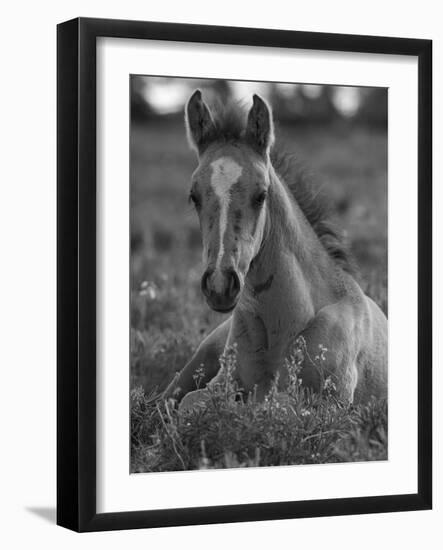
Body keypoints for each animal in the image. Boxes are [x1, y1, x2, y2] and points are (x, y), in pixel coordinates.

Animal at [164, 90, 388, 408]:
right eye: (193, 196)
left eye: (261, 195)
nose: (220, 285)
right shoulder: (220, 384)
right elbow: (190, 405)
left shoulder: (332, 402)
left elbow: (269, 405)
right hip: (198, 360)